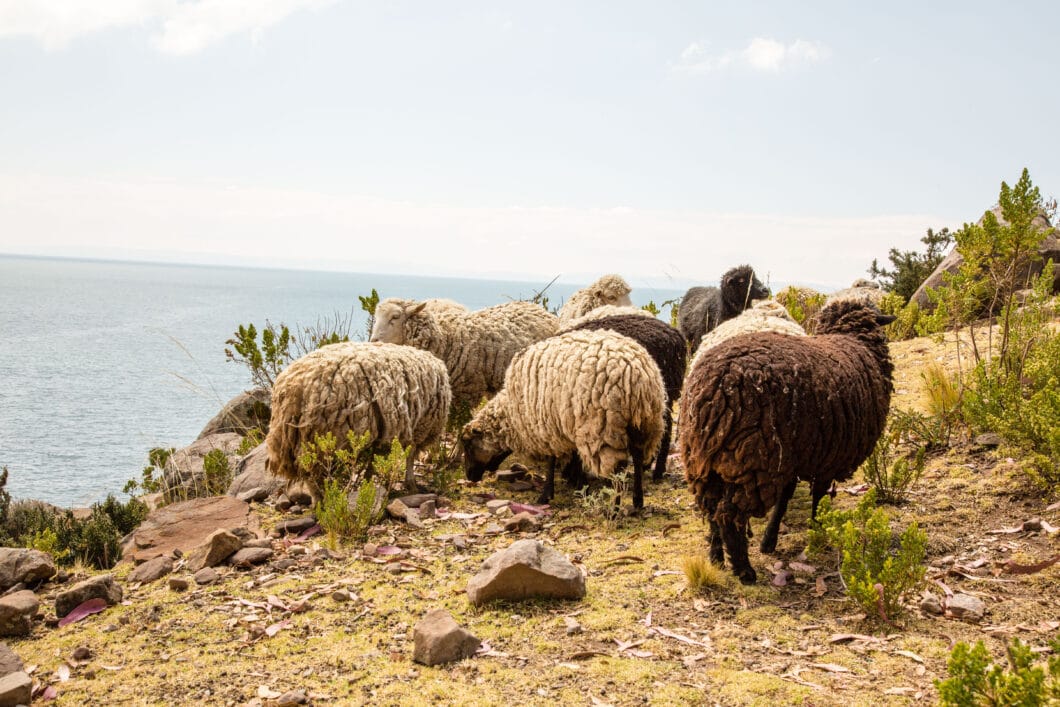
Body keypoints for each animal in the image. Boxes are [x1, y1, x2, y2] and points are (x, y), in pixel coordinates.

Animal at [267, 343, 449, 491]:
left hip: (296, 437)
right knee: (311, 474)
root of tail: (292, 389)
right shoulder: (420, 426)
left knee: (307, 471)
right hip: (322, 435)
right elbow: (409, 456)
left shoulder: (386, 431)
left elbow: (374, 459)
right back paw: (322, 500)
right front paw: (410, 484)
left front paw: (369, 481)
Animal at [462, 328, 661, 510]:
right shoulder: (570, 423)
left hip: (606, 426)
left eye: (468, 444)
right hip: (645, 424)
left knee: (618, 467)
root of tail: (636, 375)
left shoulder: (547, 427)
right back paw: (637, 501)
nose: (470, 477)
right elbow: (576, 458)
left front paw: (546, 495)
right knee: (637, 457)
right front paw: (580, 486)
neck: (512, 414)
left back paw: (614, 508)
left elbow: (551, 461)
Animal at [678, 301, 894, 585]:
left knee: (711, 507)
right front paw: (817, 530)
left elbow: (785, 499)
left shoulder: (799, 452)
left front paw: (769, 541)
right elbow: (817, 497)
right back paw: (744, 570)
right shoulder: (824, 457)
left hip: (702, 457)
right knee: (728, 515)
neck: (853, 340)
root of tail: (716, 386)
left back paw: (716, 558)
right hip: (755, 460)